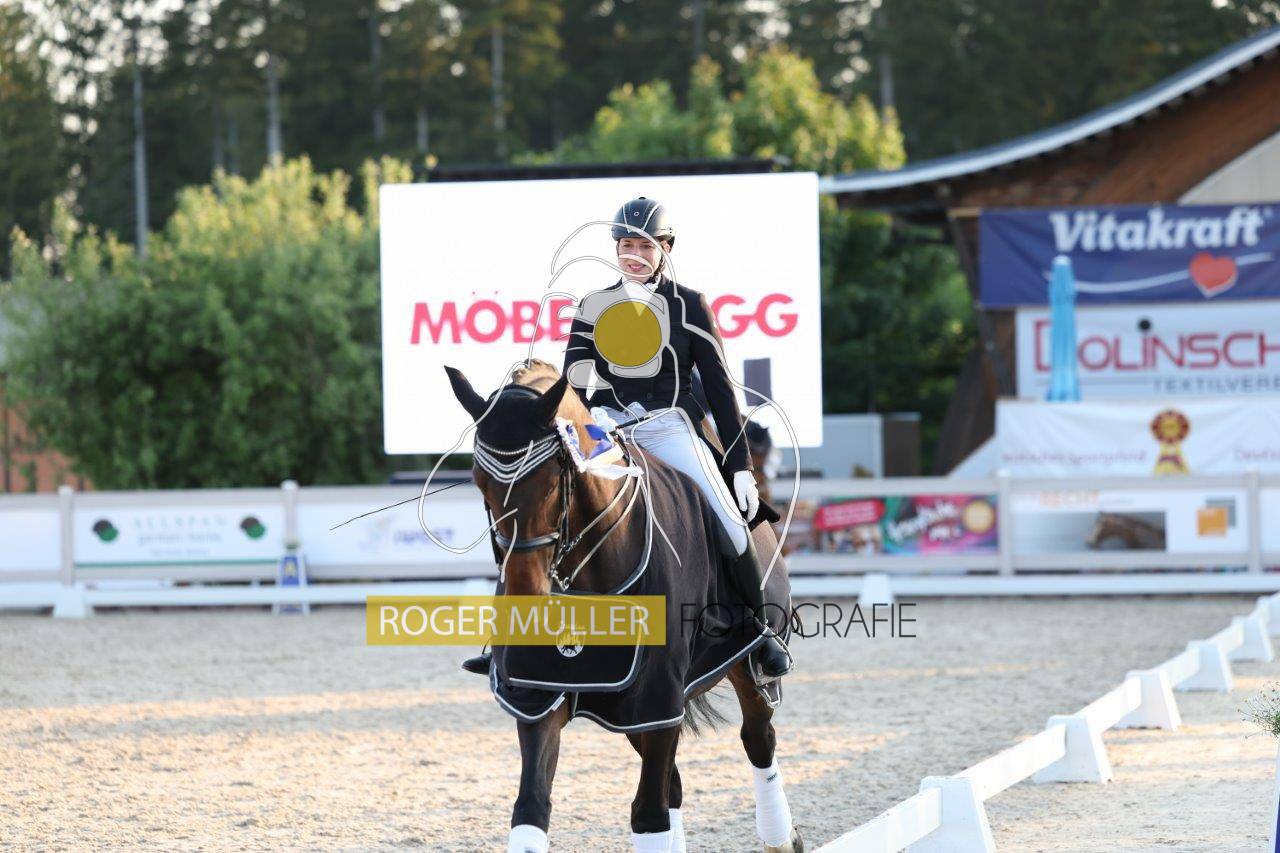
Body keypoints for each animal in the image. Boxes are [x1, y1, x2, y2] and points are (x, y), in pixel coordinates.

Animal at [444, 358, 802, 853]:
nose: (526, 602)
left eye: (551, 481)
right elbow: (531, 807)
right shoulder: (541, 698)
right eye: (481, 484)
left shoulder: (658, 697)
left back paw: (781, 837)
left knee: (757, 738)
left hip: (743, 666)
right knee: (674, 785)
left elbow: (648, 814)